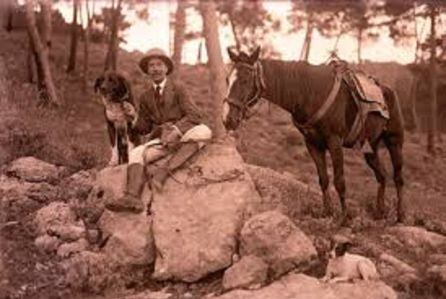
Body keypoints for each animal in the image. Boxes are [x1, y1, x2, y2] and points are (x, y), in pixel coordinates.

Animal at [222, 47, 404, 224]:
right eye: (227, 79)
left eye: (245, 80)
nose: (227, 119)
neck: (310, 93)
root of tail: (388, 91)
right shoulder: (313, 144)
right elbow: (323, 179)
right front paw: (327, 213)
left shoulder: (334, 142)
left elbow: (339, 181)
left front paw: (344, 218)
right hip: (370, 147)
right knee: (382, 175)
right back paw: (380, 212)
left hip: (394, 142)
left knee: (398, 178)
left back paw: (400, 216)